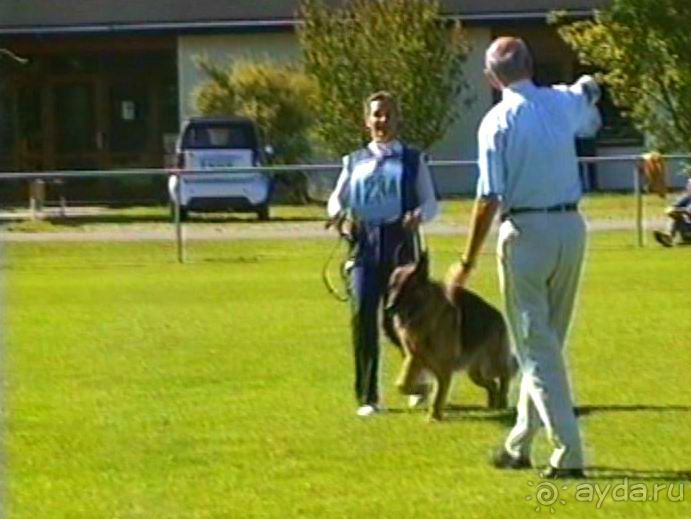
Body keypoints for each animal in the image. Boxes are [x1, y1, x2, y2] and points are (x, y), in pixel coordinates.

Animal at [386, 254, 516, 420]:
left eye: (407, 286)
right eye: (392, 287)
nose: (388, 308)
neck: (424, 314)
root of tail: (498, 314)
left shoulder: (443, 368)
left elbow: (439, 394)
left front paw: (434, 417)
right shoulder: (415, 358)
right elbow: (402, 385)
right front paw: (423, 390)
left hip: (493, 364)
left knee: (506, 373)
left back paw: (503, 400)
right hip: (475, 374)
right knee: (492, 384)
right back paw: (493, 405)